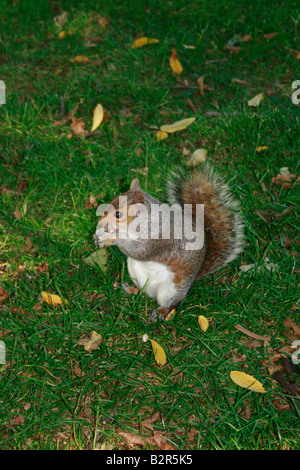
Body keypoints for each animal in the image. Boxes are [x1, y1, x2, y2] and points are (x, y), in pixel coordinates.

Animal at [94, 163, 244, 322]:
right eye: (113, 198)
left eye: (118, 214)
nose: (100, 221)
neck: (143, 221)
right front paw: (99, 236)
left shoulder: (159, 240)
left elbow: (140, 252)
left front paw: (113, 238)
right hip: (135, 273)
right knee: (142, 292)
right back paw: (128, 289)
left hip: (171, 291)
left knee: (169, 304)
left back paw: (159, 313)